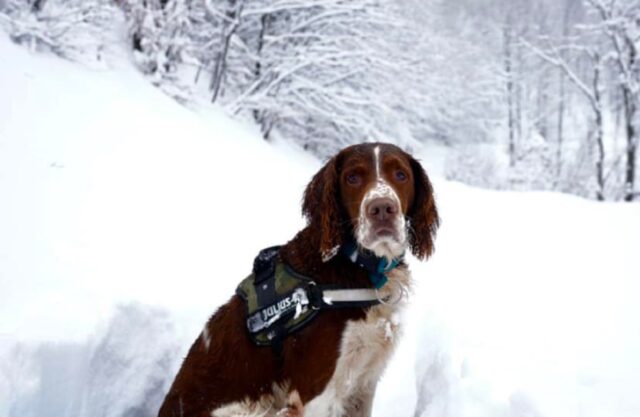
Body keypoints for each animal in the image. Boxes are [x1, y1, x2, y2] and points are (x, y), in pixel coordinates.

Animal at [157, 142, 438, 416]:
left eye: (400, 175)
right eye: (352, 178)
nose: (381, 209)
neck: (359, 266)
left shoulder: (364, 384)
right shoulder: (315, 394)